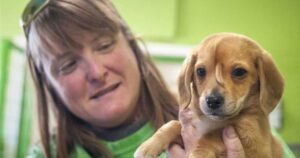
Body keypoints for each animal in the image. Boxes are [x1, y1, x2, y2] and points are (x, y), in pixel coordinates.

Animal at [135, 32, 284, 157]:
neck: (211, 120)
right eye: (200, 71)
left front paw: (198, 153)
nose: (212, 101)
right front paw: (148, 146)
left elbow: (212, 135)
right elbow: (173, 124)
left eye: (239, 72)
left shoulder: (253, 141)